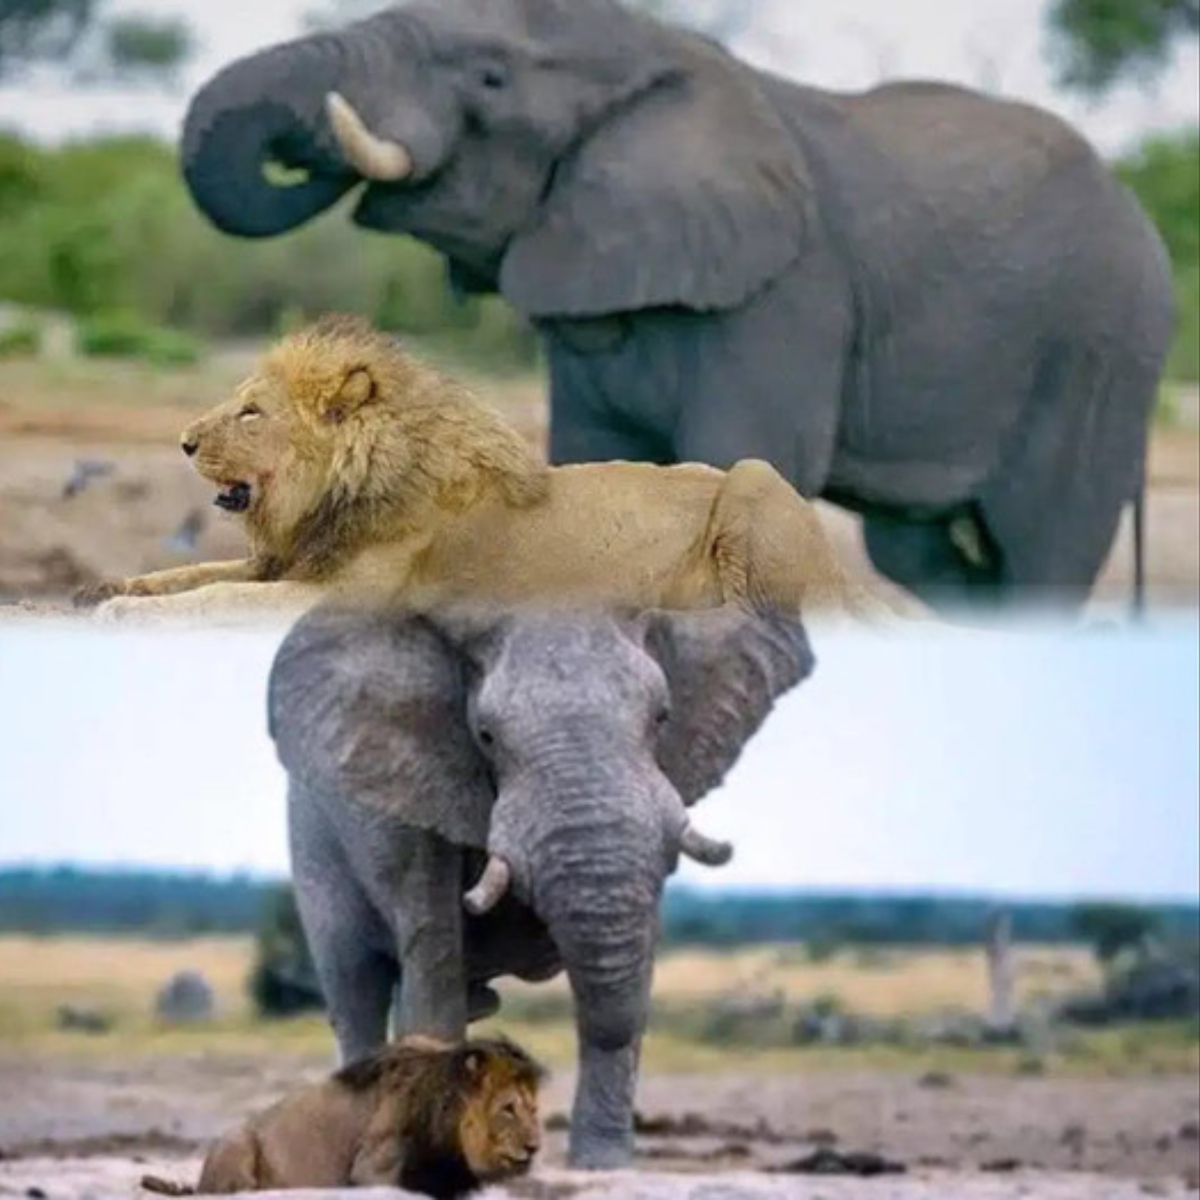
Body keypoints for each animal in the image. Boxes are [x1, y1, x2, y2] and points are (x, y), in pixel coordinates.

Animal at [77, 314, 883, 624]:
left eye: (251, 413)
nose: (183, 441)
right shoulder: (292, 563)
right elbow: (192, 573)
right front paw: (109, 588)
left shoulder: (341, 598)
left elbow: (212, 597)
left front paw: (124, 612)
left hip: (752, 474)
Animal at [182, 0, 1176, 614]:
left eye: (492, 80)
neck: (653, 50)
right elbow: (591, 451)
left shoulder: (786, 290)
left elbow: (747, 444)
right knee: (920, 552)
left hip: (1101, 352)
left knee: (1043, 547)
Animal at [268, 604, 816, 1166]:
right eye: (486, 735)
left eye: (663, 716)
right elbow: (434, 960)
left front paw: (604, 1166)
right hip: (313, 841)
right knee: (355, 986)